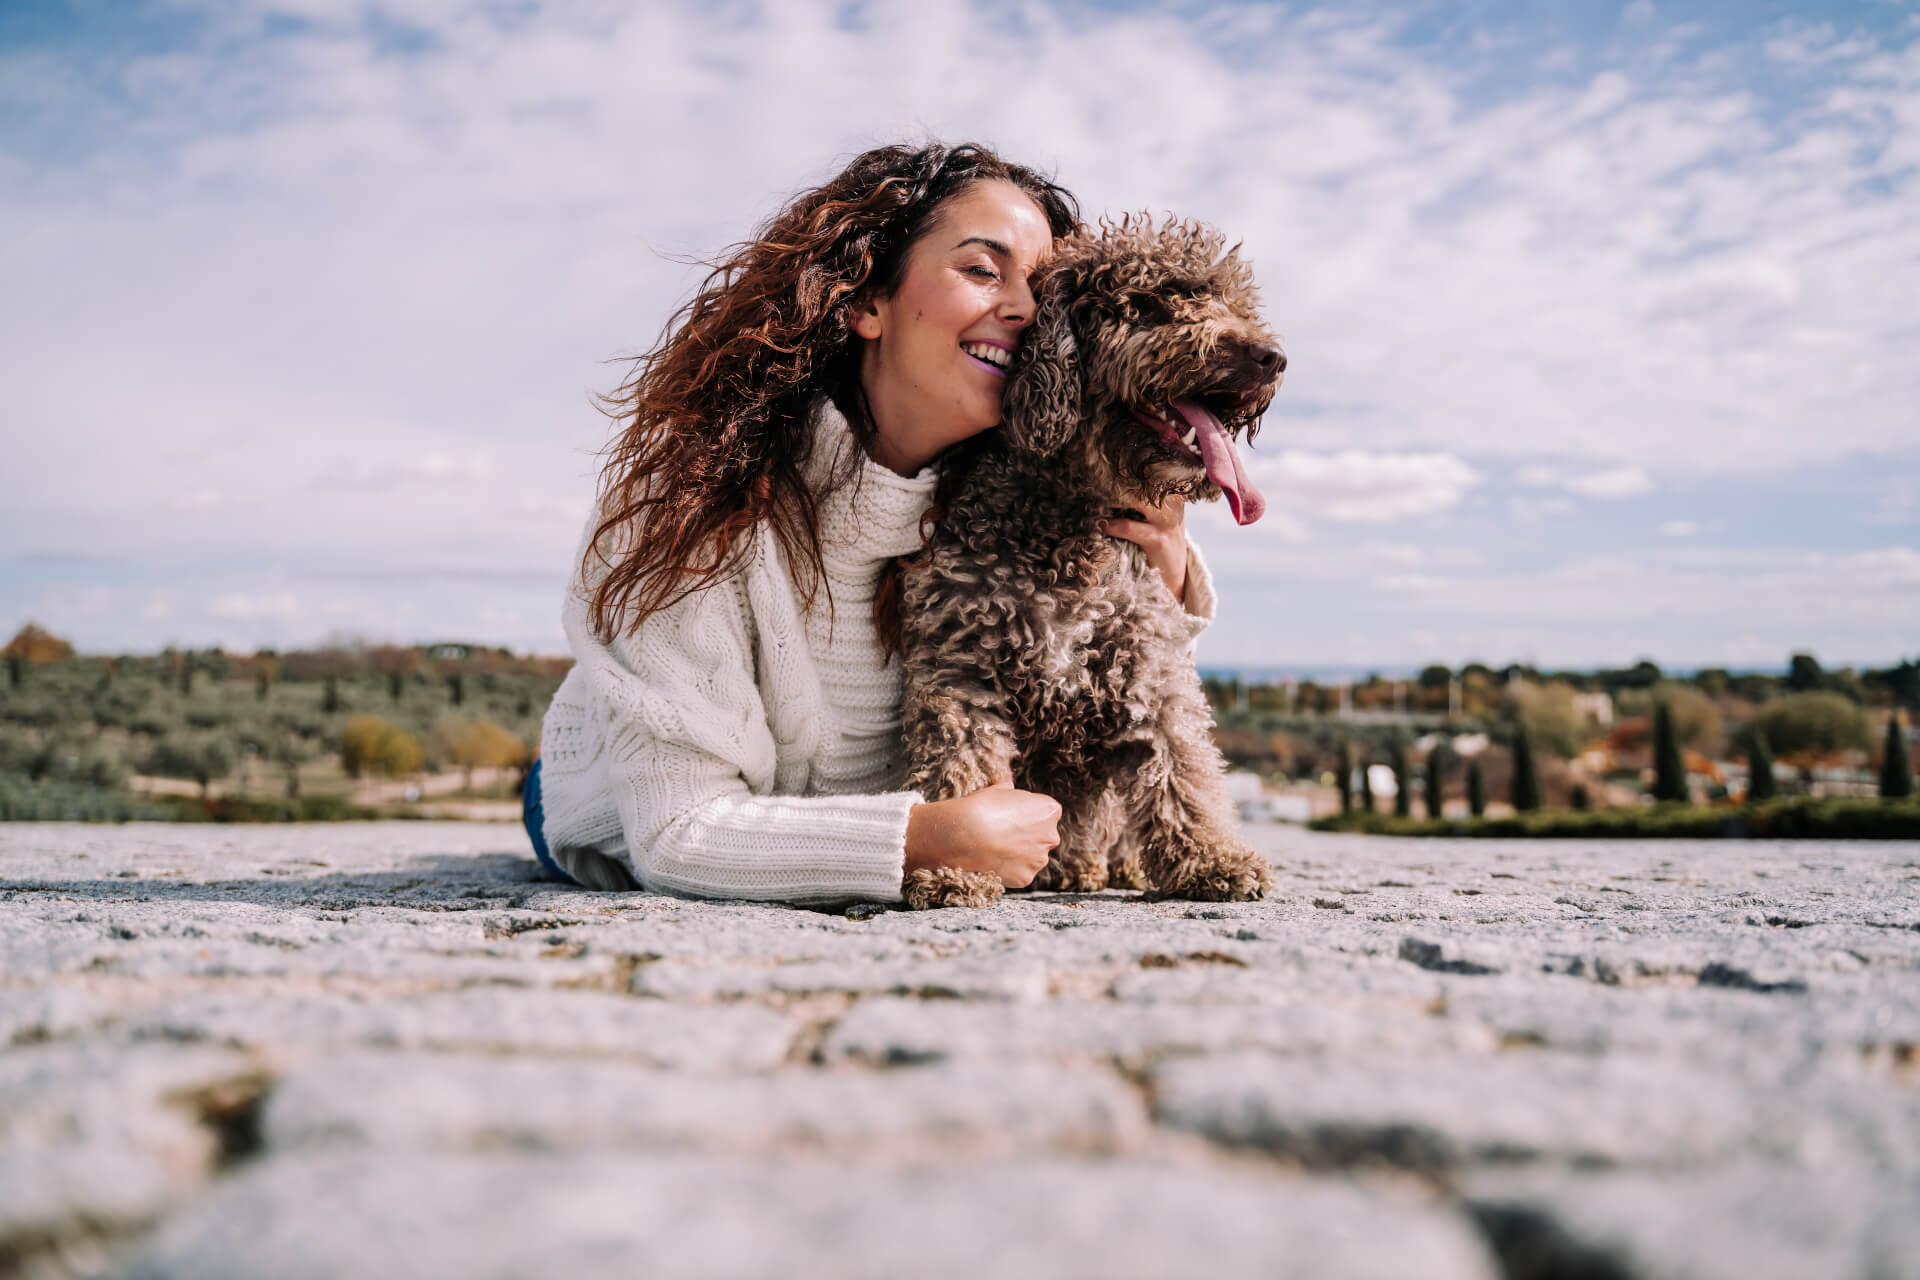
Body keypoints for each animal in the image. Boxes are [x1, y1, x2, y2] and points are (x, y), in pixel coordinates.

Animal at [898, 214, 1290, 909]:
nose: (1272, 357)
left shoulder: (1151, 669)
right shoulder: (959, 670)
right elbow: (960, 769)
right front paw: (954, 867)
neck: (1068, 520)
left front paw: (1212, 858)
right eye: (1157, 300)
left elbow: (1180, 767)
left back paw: (1107, 867)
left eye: (1235, 304)